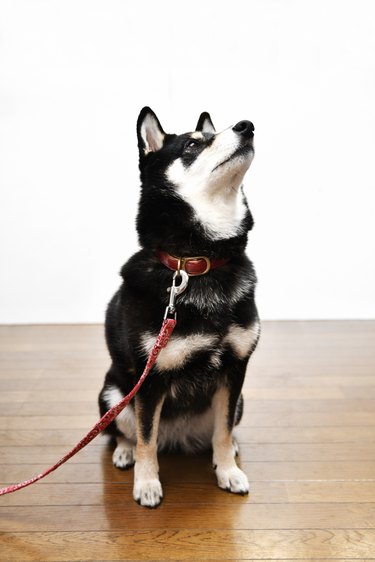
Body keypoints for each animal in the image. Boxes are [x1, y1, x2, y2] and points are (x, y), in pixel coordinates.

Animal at [98, 107, 260, 506]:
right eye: (192, 144)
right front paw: (146, 483)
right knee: (126, 432)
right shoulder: (150, 379)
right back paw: (124, 452)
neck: (196, 263)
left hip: (240, 402)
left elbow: (221, 431)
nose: (247, 126)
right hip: (113, 394)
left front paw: (228, 471)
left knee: (220, 430)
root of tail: (179, 437)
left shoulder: (235, 370)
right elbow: (146, 438)